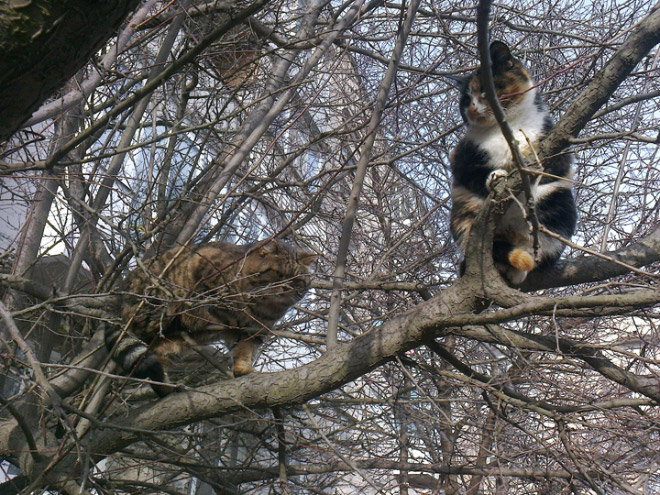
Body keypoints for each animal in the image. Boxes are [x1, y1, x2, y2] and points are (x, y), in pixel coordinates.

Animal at [106, 238, 318, 398]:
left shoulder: (255, 331)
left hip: (167, 345)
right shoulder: (205, 264)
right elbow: (208, 299)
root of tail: (117, 298)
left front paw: (243, 368)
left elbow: (245, 349)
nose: (286, 288)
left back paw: (166, 387)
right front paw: (216, 313)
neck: (263, 305)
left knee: (156, 368)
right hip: (159, 294)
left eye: (297, 280)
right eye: (278, 274)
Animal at [448, 40, 576, 284]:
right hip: (461, 213)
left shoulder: (557, 146)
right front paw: (496, 177)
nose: (472, 109)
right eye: (465, 100)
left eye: (485, 91)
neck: (505, 128)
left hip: (561, 204)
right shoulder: (461, 158)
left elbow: (550, 168)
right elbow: (474, 176)